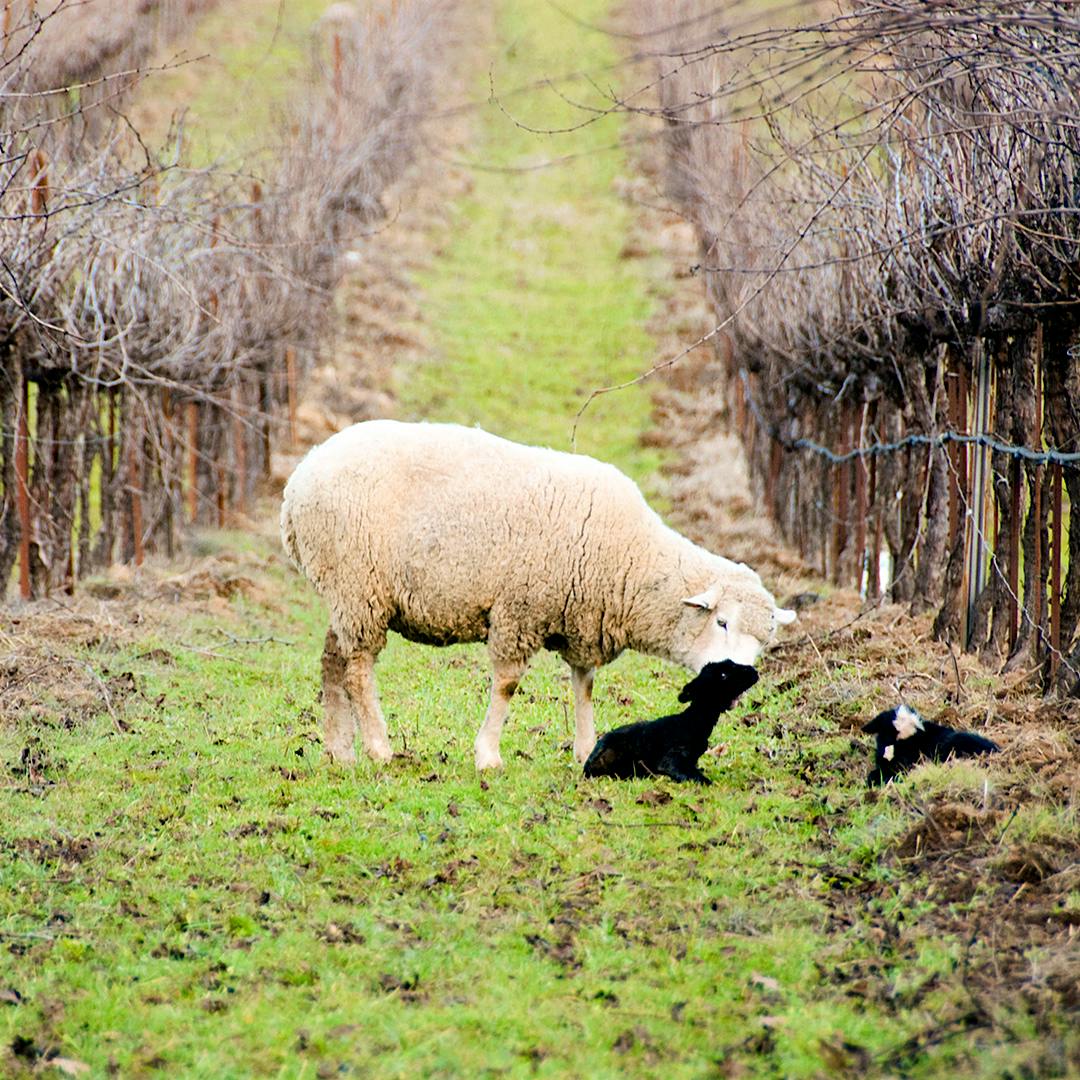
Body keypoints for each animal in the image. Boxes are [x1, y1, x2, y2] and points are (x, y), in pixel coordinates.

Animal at [280, 420, 795, 770]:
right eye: (722, 621)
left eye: (765, 642)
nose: (739, 680)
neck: (631, 558)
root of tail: (299, 478)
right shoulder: (520, 609)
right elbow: (508, 684)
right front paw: (487, 755)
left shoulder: (583, 616)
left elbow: (584, 685)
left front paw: (585, 749)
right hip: (359, 586)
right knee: (358, 670)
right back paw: (379, 748)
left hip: (346, 593)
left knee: (333, 661)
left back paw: (339, 750)